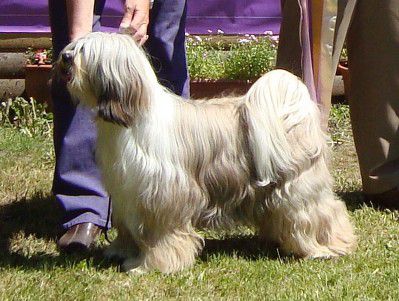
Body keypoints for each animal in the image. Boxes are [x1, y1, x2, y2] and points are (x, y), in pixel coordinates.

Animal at [53, 32, 356, 272]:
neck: (131, 118)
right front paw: (121, 252)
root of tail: (293, 112)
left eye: (85, 51)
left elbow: (164, 236)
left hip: (298, 188)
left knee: (323, 211)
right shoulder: (127, 193)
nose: (65, 57)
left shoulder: (164, 197)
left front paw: (153, 265)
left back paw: (328, 246)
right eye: (75, 45)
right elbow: (128, 229)